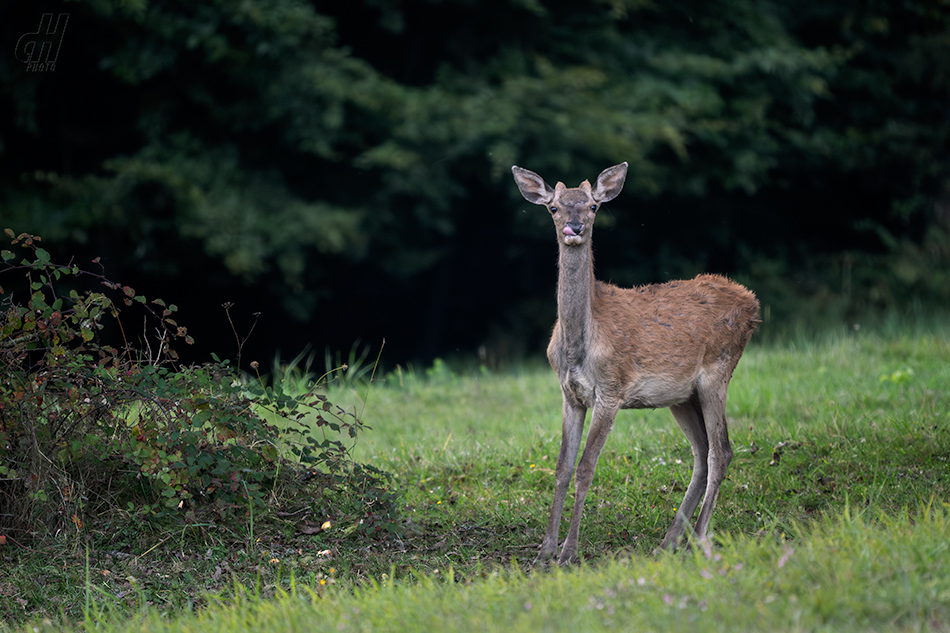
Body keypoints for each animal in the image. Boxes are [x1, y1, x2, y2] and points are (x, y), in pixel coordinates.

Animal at [510, 159, 764, 564]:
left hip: (717, 373)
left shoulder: (611, 391)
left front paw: (569, 552)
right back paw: (670, 540)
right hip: (681, 396)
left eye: (593, 205)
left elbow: (585, 469)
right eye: (553, 207)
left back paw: (699, 538)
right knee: (701, 452)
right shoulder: (570, 395)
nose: (574, 228)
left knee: (721, 452)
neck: (580, 344)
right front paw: (544, 551)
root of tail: (752, 303)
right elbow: (562, 468)